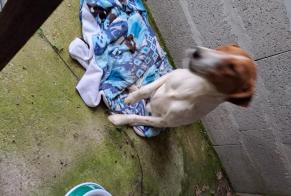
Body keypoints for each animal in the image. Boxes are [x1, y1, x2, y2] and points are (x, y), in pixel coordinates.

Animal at [108, 43, 256, 128]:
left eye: (232, 70)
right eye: (224, 49)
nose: (196, 52)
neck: (193, 89)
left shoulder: (164, 122)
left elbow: (139, 117)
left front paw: (119, 119)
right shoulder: (172, 74)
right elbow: (145, 89)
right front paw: (131, 99)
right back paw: (132, 88)